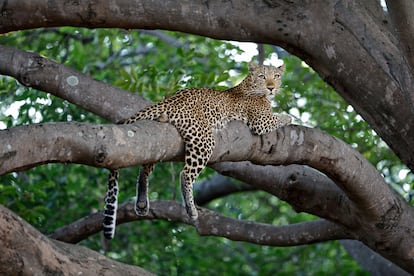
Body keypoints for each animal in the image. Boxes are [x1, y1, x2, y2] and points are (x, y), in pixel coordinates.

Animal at [103, 62, 292, 239]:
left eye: (276, 76)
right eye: (262, 76)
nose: (271, 87)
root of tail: (169, 100)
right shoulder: (260, 121)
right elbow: (279, 117)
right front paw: (289, 117)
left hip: (159, 143)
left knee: (146, 168)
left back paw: (142, 203)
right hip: (203, 140)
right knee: (185, 174)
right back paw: (191, 210)